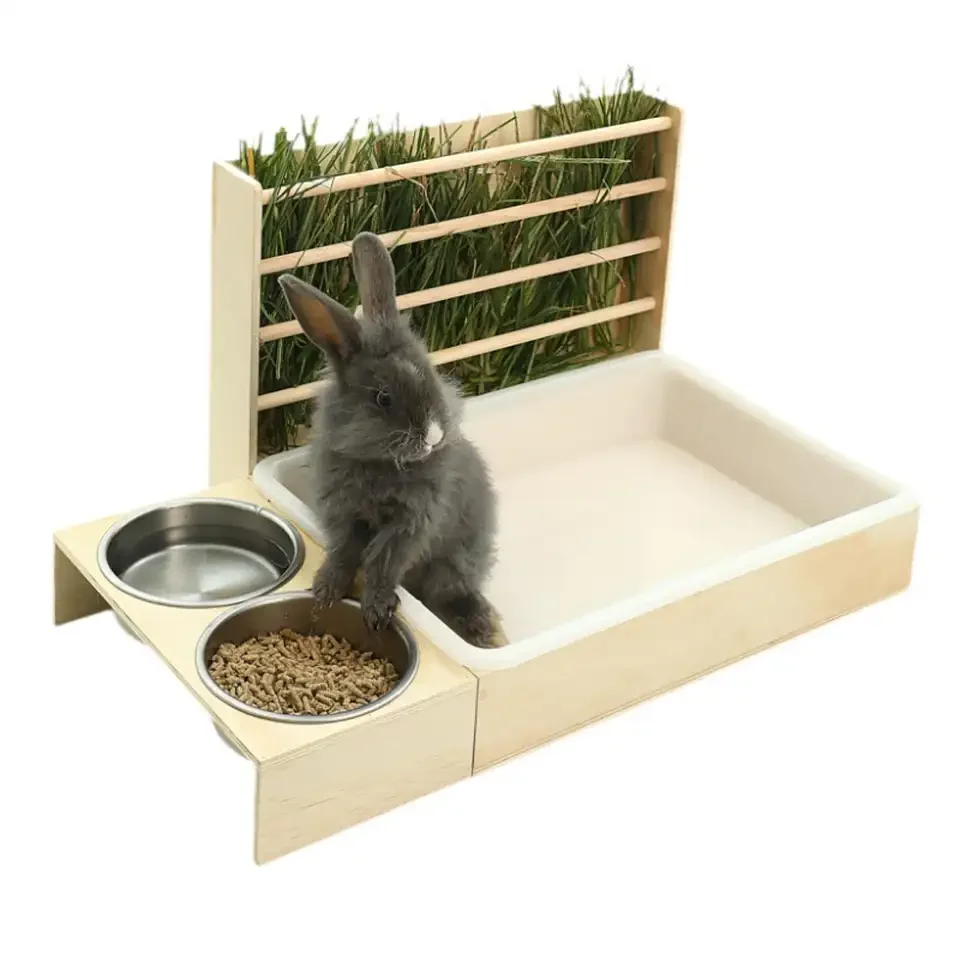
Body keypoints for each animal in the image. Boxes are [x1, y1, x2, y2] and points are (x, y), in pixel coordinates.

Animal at [277, 232, 500, 648]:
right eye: (383, 398)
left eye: (432, 375)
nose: (434, 436)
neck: (377, 463)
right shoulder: (344, 513)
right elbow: (344, 553)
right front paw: (325, 591)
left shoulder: (410, 523)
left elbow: (383, 562)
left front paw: (377, 610)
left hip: (455, 562)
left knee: (453, 592)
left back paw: (480, 625)